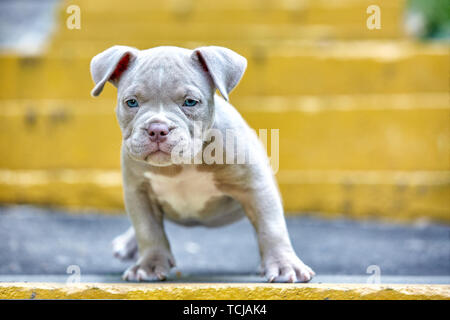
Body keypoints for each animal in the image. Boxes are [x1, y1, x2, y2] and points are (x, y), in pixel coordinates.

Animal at [89, 45, 314, 282]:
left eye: (190, 102)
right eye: (131, 102)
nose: (157, 129)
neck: (179, 165)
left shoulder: (255, 187)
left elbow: (271, 227)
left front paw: (284, 266)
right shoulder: (138, 192)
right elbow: (147, 229)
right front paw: (149, 265)